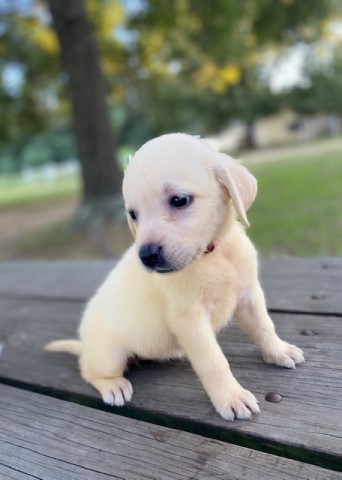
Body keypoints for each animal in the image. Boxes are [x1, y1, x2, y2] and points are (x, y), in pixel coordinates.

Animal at [46, 132, 304, 420]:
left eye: (180, 200)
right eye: (133, 214)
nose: (146, 256)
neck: (211, 256)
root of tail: (86, 347)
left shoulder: (249, 295)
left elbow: (263, 327)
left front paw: (278, 352)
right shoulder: (190, 320)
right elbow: (214, 361)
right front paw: (231, 397)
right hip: (109, 355)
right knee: (89, 371)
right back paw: (112, 385)